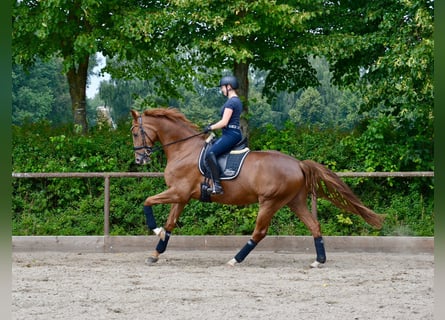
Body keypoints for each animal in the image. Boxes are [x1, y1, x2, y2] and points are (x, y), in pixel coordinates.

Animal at [130, 107, 384, 268]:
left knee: (259, 232)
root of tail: (298, 164)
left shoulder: (178, 192)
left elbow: (147, 202)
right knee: (314, 225)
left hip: (270, 202)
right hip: (295, 201)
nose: (140, 160)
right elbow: (170, 224)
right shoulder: (182, 197)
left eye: (134, 133)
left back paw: (235, 259)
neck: (184, 150)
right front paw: (155, 253)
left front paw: (155, 230)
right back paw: (318, 261)